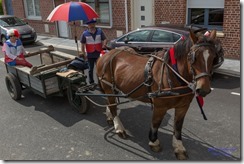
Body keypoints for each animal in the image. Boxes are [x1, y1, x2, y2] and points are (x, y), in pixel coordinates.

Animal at [95, 29, 217, 159]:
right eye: (192, 57)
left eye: (213, 57)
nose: (204, 89)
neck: (173, 74)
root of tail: (106, 54)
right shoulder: (160, 106)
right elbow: (155, 123)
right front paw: (154, 142)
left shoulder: (183, 107)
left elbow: (178, 126)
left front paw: (179, 147)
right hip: (108, 86)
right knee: (113, 106)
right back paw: (119, 128)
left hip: (113, 88)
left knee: (109, 101)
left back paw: (110, 117)